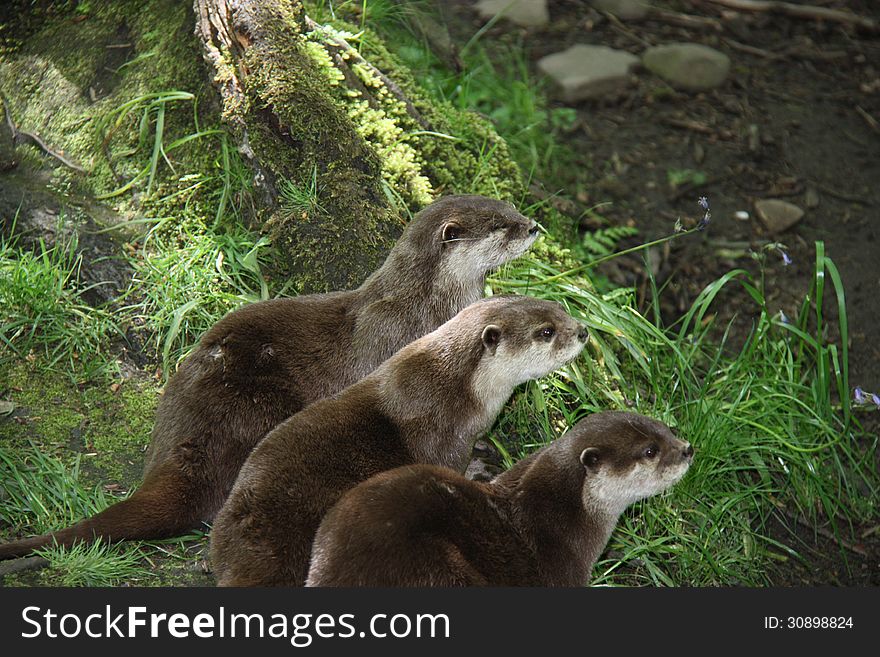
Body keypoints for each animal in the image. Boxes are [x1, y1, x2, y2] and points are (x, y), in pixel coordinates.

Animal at [0, 195, 536, 560]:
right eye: (501, 226)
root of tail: (186, 445)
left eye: (509, 206)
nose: (534, 225)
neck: (427, 304)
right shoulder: (395, 343)